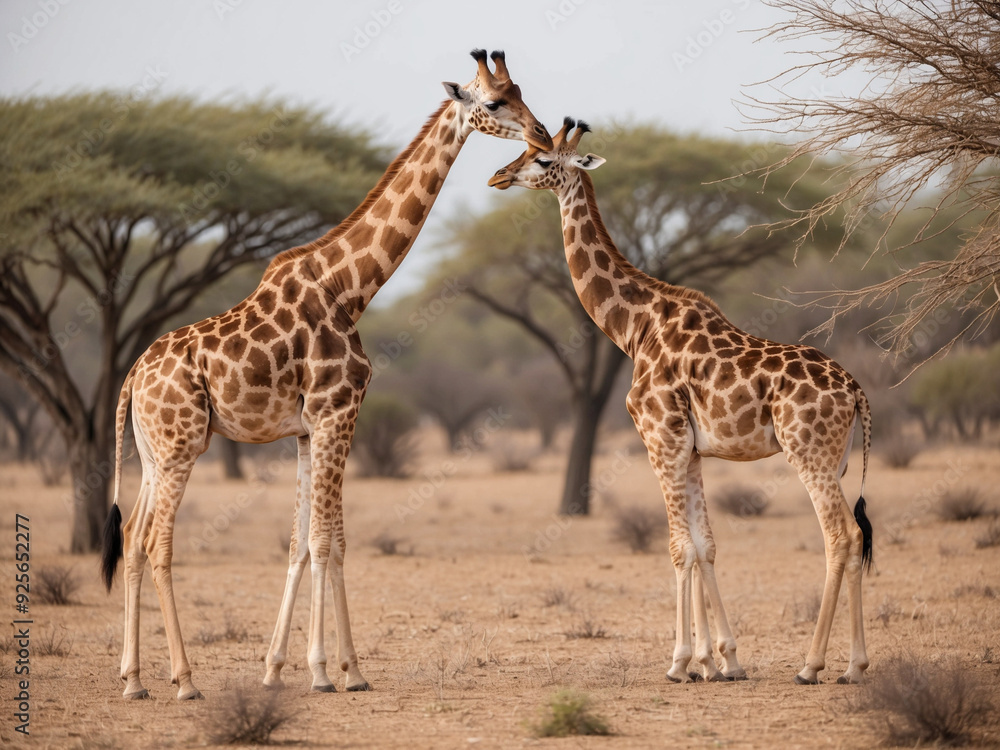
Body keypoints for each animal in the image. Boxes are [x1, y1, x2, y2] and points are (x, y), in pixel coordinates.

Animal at [98, 50, 553, 701]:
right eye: (494, 102)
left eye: (522, 92)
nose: (542, 134)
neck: (351, 287)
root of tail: (132, 376)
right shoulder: (338, 412)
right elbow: (324, 541)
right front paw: (329, 672)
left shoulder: (308, 429)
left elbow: (308, 542)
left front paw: (291, 668)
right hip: (182, 445)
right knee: (158, 544)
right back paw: (183, 681)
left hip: (154, 449)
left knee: (133, 539)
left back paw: (133, 679)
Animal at [488, 118, 873, 685]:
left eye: (540, 158)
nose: (498, 175)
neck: (636, 326)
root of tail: (856, 391)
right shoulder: (690, 449)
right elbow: (704, 545)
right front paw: (721, 661)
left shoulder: (660, 437)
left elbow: (677, 547)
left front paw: (680, 662)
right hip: (836, 459)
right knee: (856, 536)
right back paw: (855, 665)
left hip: (809, 453)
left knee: (840, 535)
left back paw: (813, 665)